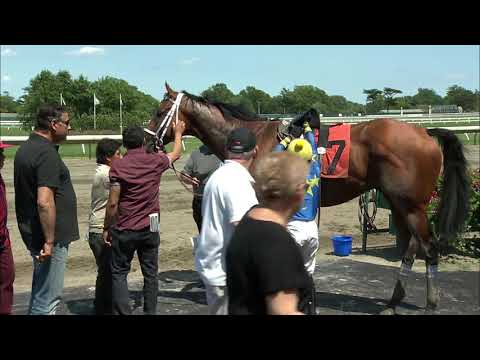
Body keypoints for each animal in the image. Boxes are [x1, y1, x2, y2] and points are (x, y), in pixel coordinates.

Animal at [147, 83, 468, 314]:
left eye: (160, 110)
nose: (147, 140)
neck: (253, 138)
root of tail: (425, 131)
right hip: (399, 203)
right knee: (411, 248)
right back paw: (391, 303)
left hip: (411, 205)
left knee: (429, 247)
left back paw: (430, 304)